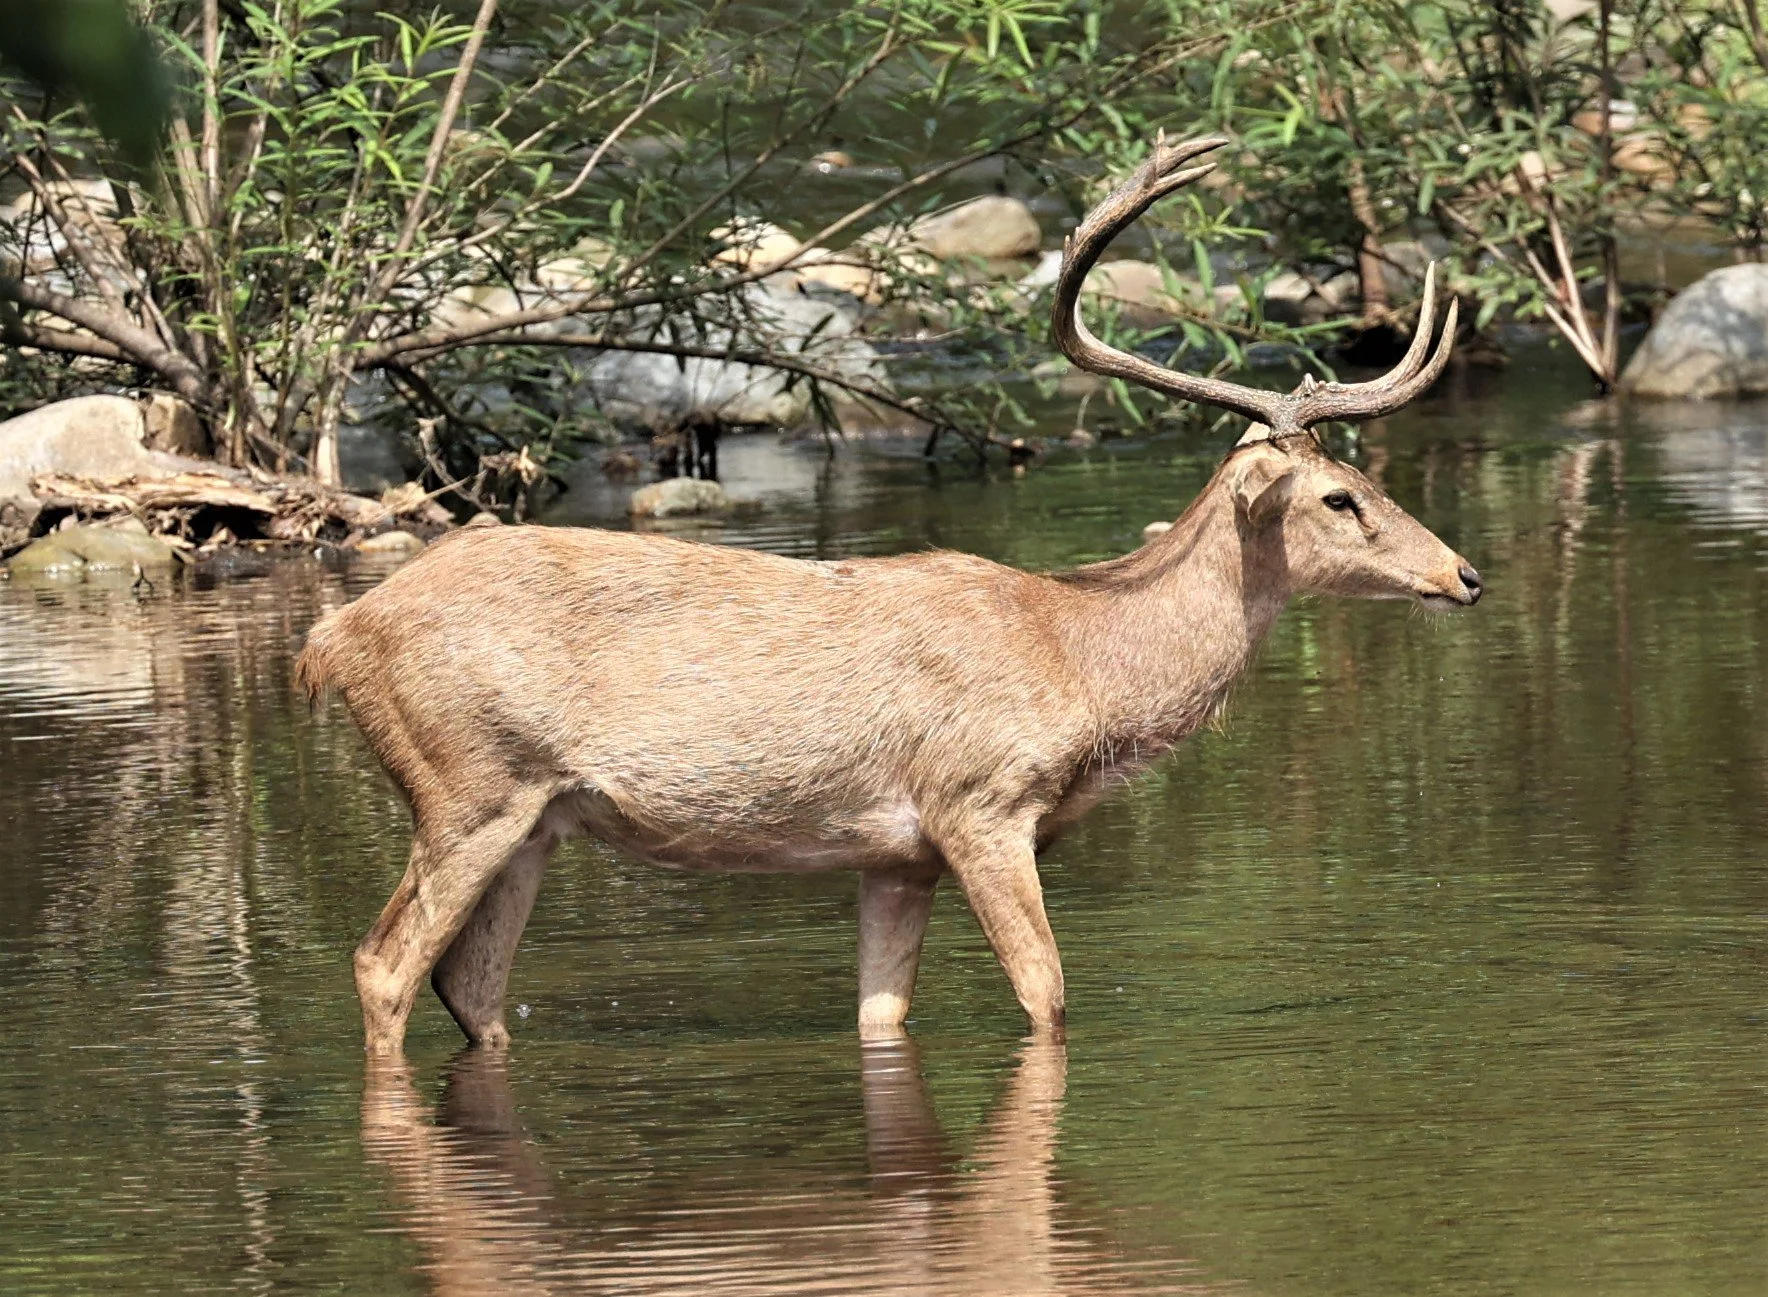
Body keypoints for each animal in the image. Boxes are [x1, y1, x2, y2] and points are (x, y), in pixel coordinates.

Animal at [297, 134, 1483, 1058]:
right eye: (1338, 496)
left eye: (1367, 476)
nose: (1462, 574)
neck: (1081, 653)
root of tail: (332, 636)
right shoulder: (980, 799)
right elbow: (1049, 997)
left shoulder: (893, 852)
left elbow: (881, 1016)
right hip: (467, 778)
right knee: (383, 964)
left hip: (534, 813)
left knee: (470, 988)